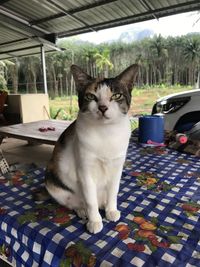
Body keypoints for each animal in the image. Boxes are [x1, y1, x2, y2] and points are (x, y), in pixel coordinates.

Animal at [43, 65, 138, 234]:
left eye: (116, 95)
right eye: (90, 96)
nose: (103, 107)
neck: (106, 133)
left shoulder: (117, 168)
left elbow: (113, 191)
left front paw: (111, 210)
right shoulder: (85, 171)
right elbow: (90, 201)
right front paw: (95, 221)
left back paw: (104, 205)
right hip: (52, 183)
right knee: (76, 203)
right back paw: (82, 210)